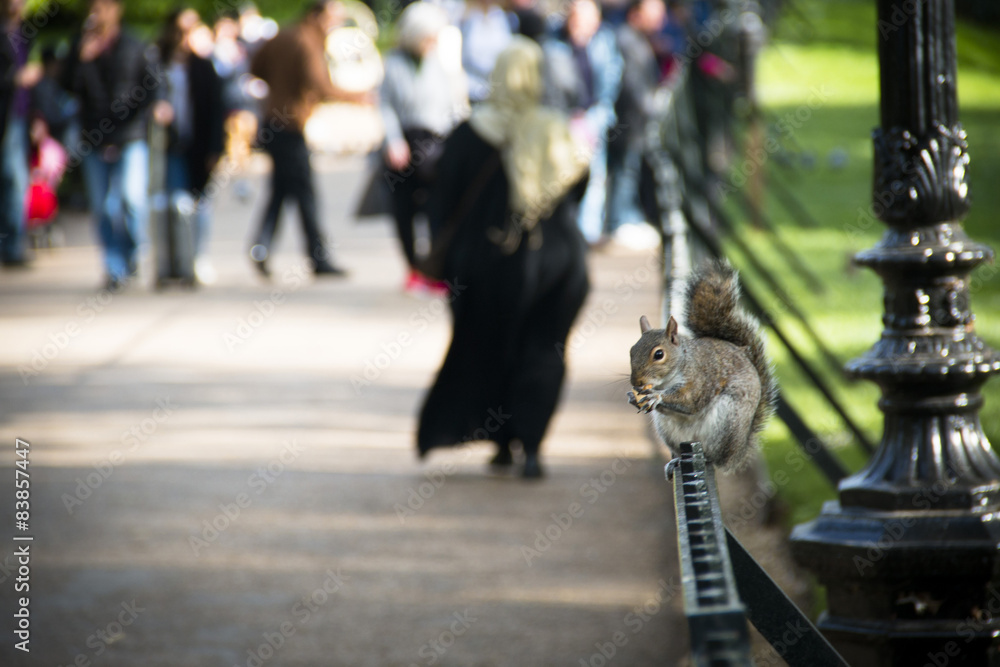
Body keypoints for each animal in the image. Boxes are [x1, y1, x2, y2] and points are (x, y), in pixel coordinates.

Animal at [627, 260, 777, 471]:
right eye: (631, 350)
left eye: (659, 354)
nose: (636, 383)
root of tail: (738, 454)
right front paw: (634, 397)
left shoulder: (701, 377)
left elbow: (690, 400)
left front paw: (656, 396)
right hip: (668, 431)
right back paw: (676, 461)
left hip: (726, 421)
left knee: (715, 459)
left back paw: (707, 458)